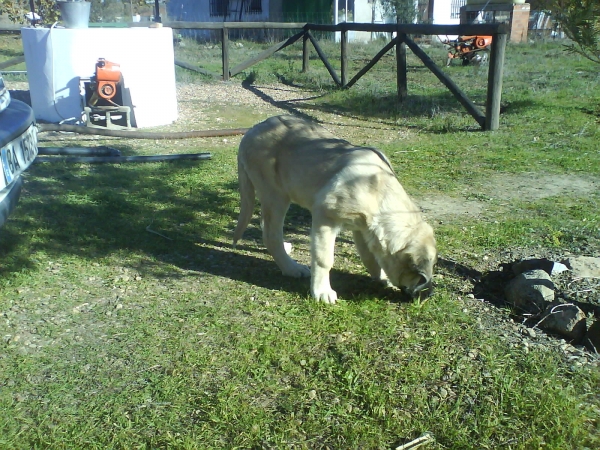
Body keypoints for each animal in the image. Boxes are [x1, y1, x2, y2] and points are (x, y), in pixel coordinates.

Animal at [233, 114, 436, 304]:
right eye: (421, 278)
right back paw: (292, 268)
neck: (379, 194)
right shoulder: (325, 217)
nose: (430, 294)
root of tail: (252, 131)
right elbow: (324, 259)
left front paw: (381, 277)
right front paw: (322, 292)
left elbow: (370, 256)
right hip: (276, 194)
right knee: (271, 234)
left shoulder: (362, 229)